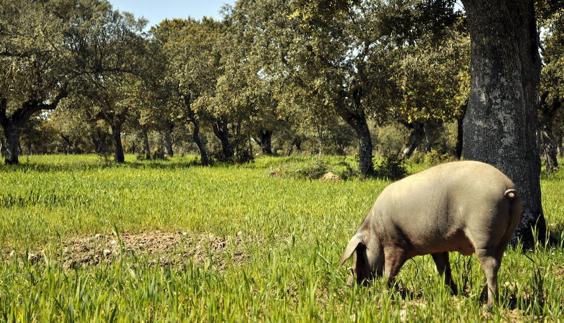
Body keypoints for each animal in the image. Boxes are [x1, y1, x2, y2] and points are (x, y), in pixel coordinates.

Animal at [340, 161, 520, 308]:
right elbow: (443, 268)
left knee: (490, 264)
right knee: (498, 262)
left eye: (359, 253)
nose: (348, 285)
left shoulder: (395, 244)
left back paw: (488, 306)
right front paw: (452, 293)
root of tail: (507, 188)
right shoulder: (438, 248)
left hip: (482, 231)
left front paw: (383, 293)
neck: (375, 231)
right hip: (504, 236)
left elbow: (389, 271)